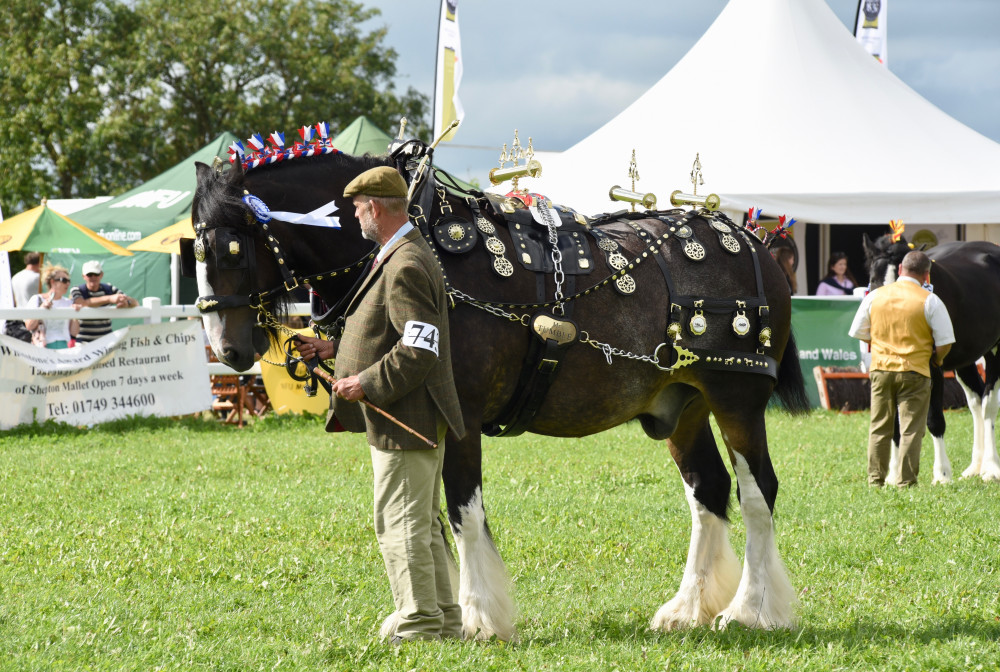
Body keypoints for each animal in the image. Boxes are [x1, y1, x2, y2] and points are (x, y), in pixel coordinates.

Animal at [189, 138, 812, 640]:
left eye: (230, 249)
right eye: (193, 250)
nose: (227, 349)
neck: (425, 243)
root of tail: (754, 241)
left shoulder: (459, 414)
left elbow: (461, 508)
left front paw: (477, 616)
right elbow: (430, 515)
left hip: (735, 398)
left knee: (757, 491)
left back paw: (752, 609)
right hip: (681, 406)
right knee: (708, 490)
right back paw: (688, 608)